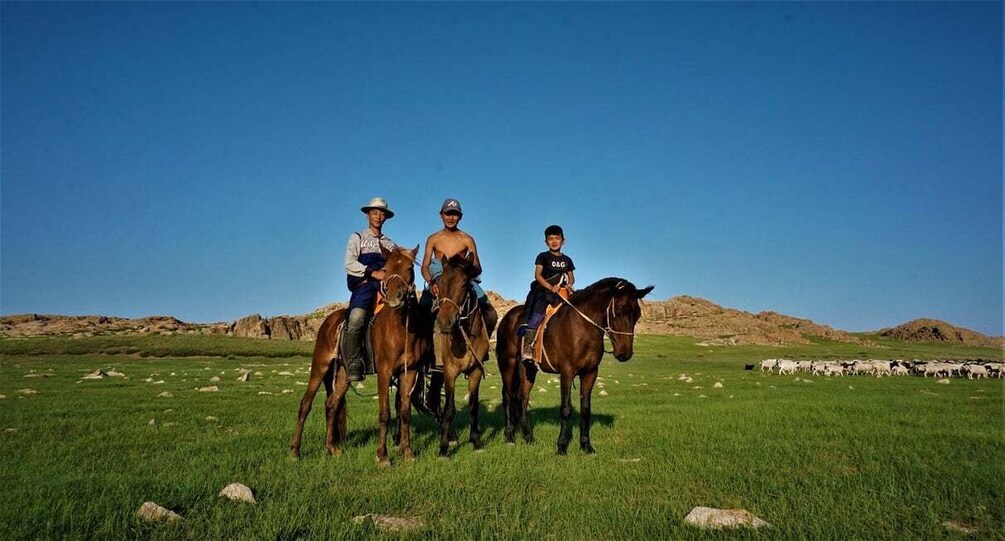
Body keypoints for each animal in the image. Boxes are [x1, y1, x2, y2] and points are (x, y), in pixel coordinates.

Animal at [289, 244, 434, 462]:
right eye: (386, 268)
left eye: (409, 267)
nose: (396, 297)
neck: (401, 329)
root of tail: (328, 322)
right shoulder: (384, 372)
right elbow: (384, 413)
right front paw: (383, 456)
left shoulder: (409, 372)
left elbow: (405, 412)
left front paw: (408, 453)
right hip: (320, 366)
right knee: (305, 404)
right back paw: (295, 451)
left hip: (342, 375)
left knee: (332, 405)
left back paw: (332, 447)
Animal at [430, 252, 496, 454]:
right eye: (439, 283)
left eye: (465, 284)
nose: (445, 323)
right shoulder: (449, 372)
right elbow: (449, 409)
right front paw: (443, 449)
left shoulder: (475, 371)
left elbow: (474, 406)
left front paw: (476, 441)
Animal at [492, 275, 651, 452]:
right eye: (620, 311)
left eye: (637, 315)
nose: (625, 354)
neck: (583, 327)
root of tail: (507, 318)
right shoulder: (567, 373)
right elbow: (566, 409)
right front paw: (561, 446)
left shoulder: (590, 373)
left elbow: (585, 409)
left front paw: (586, 445)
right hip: (508, 364)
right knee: (508, 396)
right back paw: (510, 436)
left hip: (528, 369)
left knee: (522, 399)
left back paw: (528, 437)